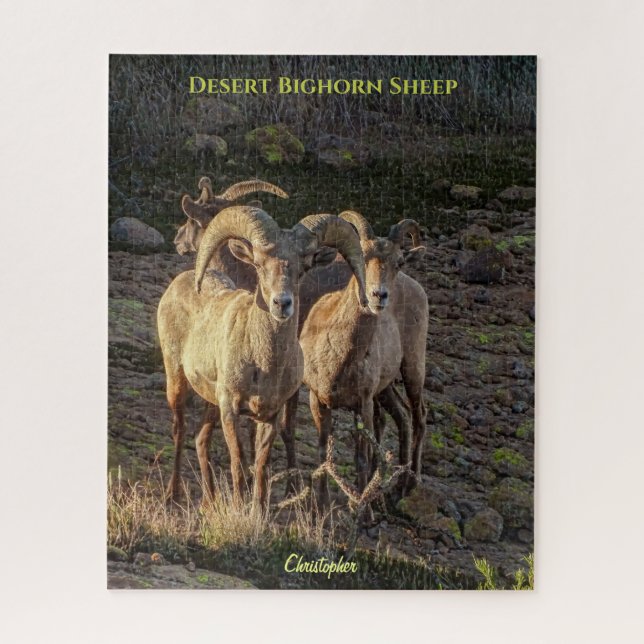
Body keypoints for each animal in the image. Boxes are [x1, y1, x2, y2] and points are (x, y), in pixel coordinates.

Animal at [157, 205, 367, 509]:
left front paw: (257, 511)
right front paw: (237, 508)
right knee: (180, 430)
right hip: (176, 379)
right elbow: (238, 463)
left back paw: (210, 502)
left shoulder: (269, 415)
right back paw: (172, 495)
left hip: (211, 402)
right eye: (258, 264)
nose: (282, 303)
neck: (264, 363)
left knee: (200, 439)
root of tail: (179, 284)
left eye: (304, 267)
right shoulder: (231, 410)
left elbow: (260, 468)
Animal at [297, 211, 428, 505]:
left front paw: (361, 507)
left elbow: (361, 459)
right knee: (403, 416)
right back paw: (391, 490)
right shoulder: (318, 401)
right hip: (386, 388)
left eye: (398, 262)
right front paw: (321, 508)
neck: (339, 358)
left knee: (418, 417)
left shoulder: (362, 405)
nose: (379, 296)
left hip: (413, 368)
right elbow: (323, 455)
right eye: (363, 257)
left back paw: (408, 486)